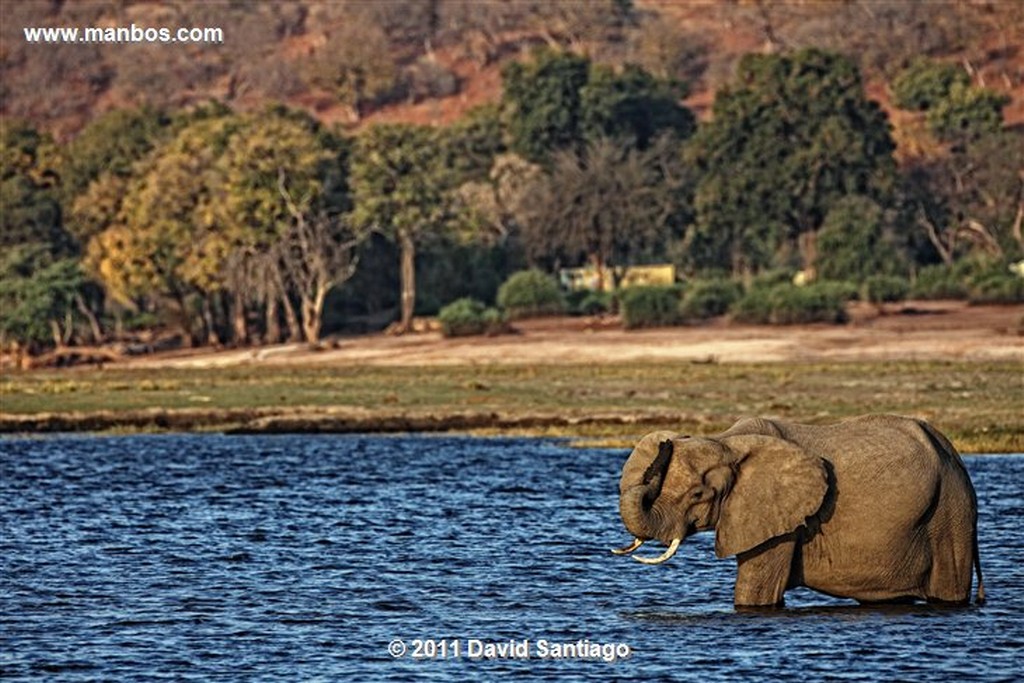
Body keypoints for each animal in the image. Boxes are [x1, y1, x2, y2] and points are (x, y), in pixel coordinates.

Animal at [610, 413, 978, 606]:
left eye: (698, 494)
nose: (666, 442)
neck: (726, 441)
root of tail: (952, 452)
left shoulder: (777, 519)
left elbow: (755, 593)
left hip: (950, 512)